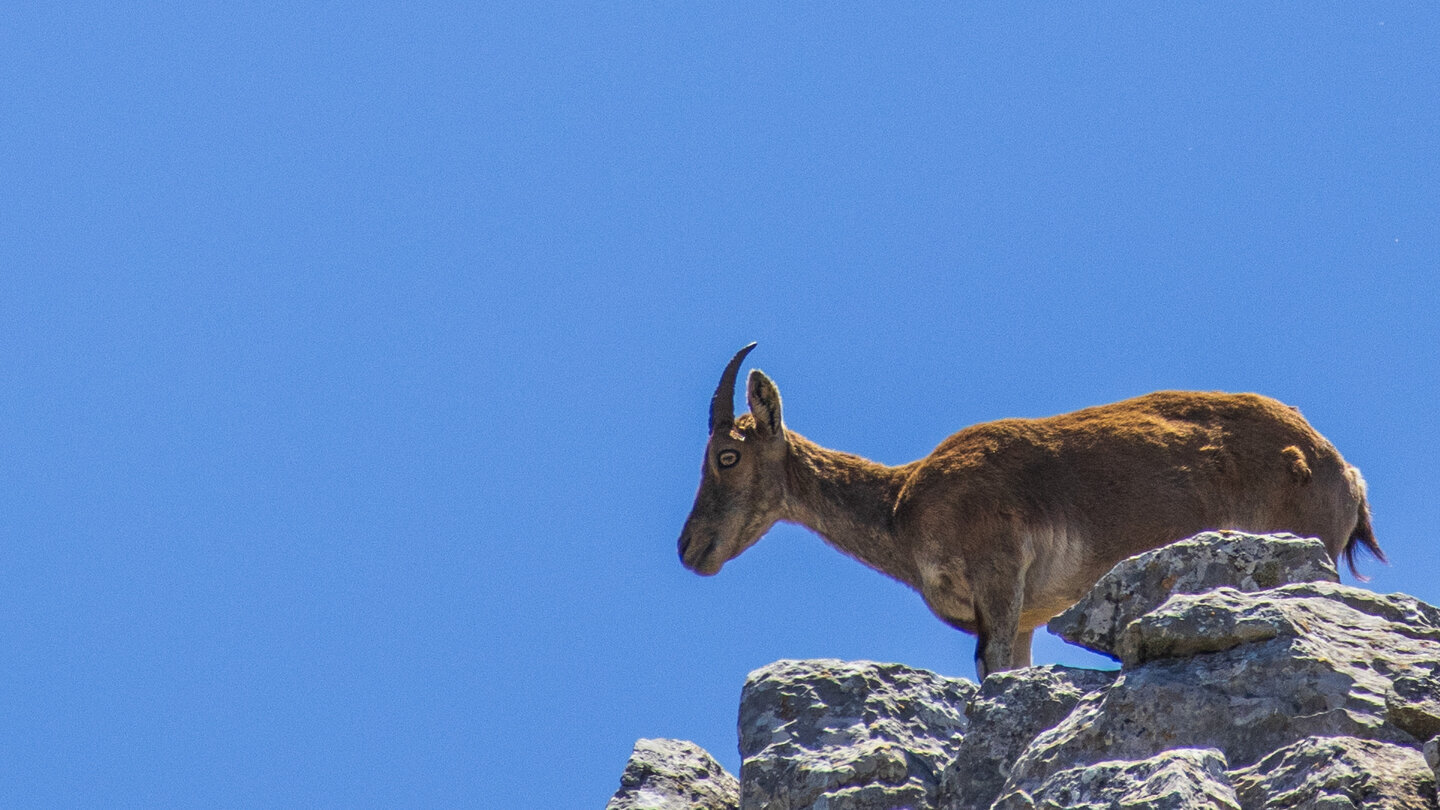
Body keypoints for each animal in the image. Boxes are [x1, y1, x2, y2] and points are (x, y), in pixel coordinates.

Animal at [677, 343, 1384, 679]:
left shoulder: (998, 580)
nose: (689, 549)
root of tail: (1345, 472)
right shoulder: (1024, 618)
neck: (903, 505)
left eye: (727, 456)